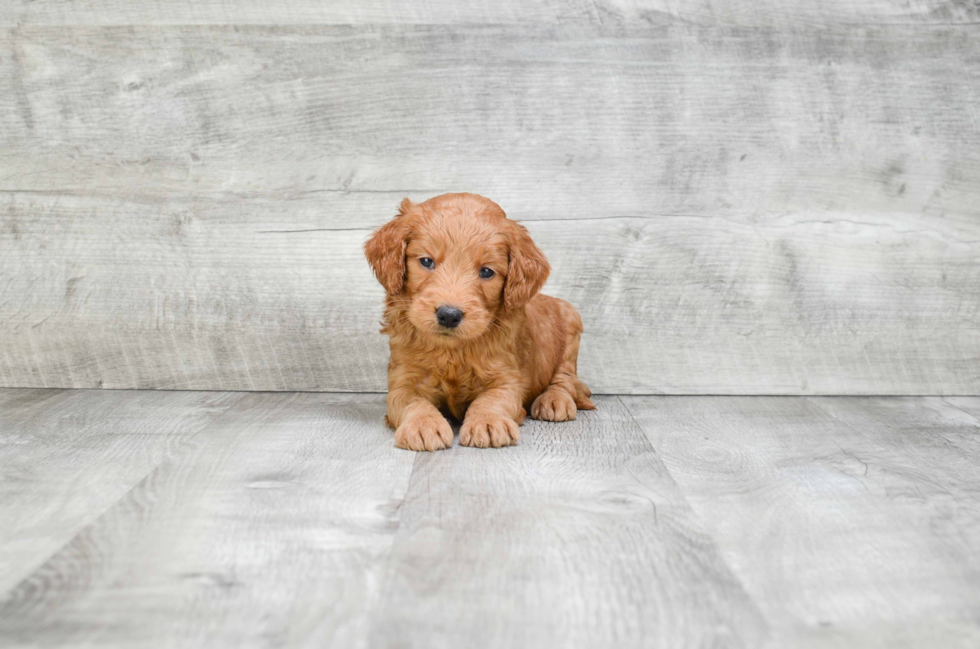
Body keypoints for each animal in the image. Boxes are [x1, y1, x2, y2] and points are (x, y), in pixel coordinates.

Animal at [364, 190, 592, 448]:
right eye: (426, 261)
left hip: (571, 321)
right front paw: (423, 424)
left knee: (565, 378)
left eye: (486, 272)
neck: (452, 351)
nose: (449, 315)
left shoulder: (507, 378)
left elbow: (492, 399)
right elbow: (410, 401)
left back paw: (554, 400)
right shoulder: (403, 379)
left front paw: (488, 422)